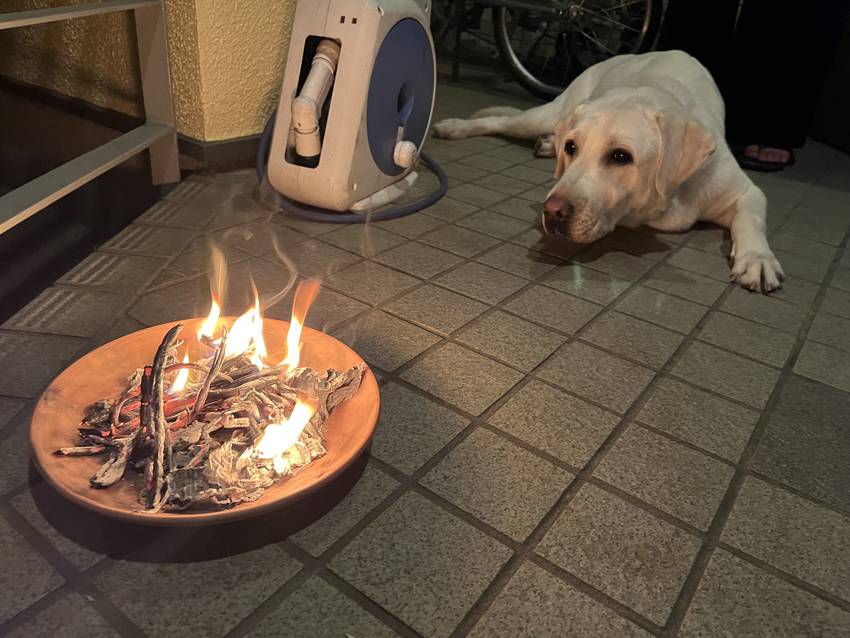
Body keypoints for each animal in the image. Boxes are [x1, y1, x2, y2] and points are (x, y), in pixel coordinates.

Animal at [434, 48, 784, 294]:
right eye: (572, 148)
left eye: (620, 156)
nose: (553, 211)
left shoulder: (746, 191)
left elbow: (750, 218)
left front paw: (757, 258)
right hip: (547, 113)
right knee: (501, 120)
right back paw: (454, 127)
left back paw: (546, 143)